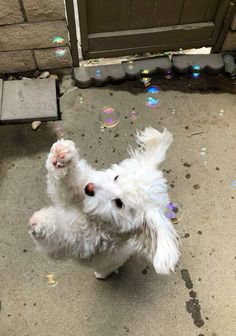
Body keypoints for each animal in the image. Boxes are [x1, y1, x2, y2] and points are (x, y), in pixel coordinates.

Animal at [28, 127, 180, 280]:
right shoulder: (75, 190)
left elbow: (60, 236)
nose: (89, 188)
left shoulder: (80, 241)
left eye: (119, 203)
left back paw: (101, 274)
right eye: (116, 177)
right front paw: (62, 156)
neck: (90, 212)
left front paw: (40, 223)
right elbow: (68, 183)